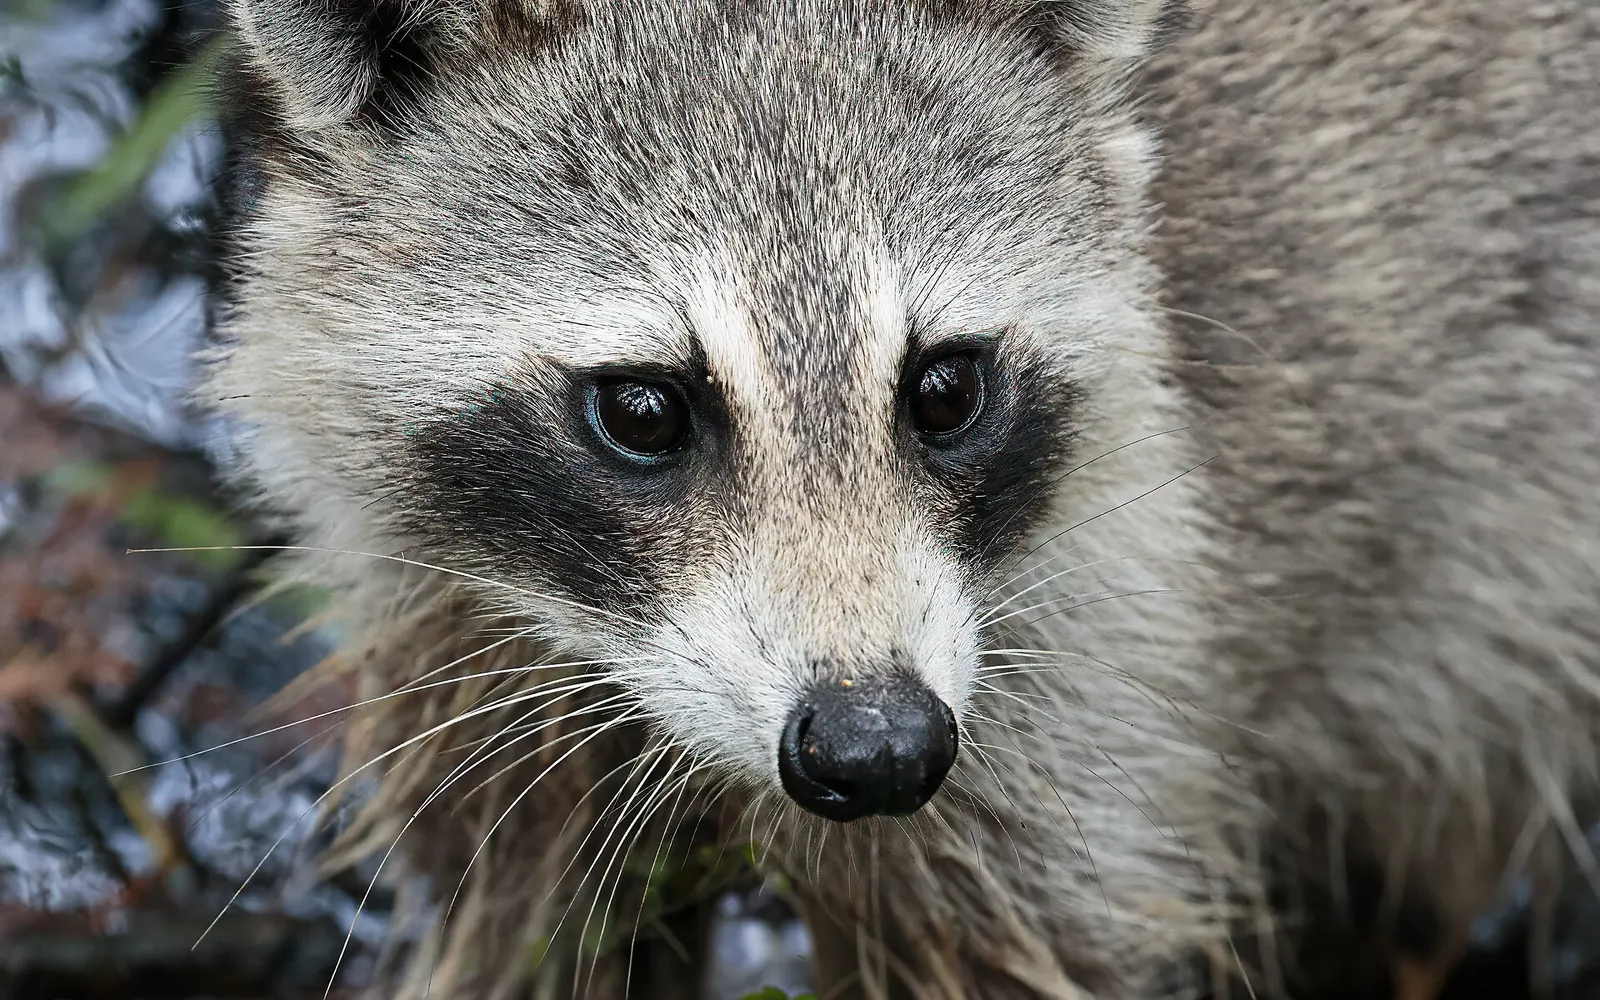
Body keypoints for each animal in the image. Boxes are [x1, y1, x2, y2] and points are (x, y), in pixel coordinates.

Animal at [199, 0, 1600, 998]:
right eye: (643, 409)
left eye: (942, 387)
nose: (877, 747)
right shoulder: (473, 662)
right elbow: (532, 923)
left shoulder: (1089, 663)